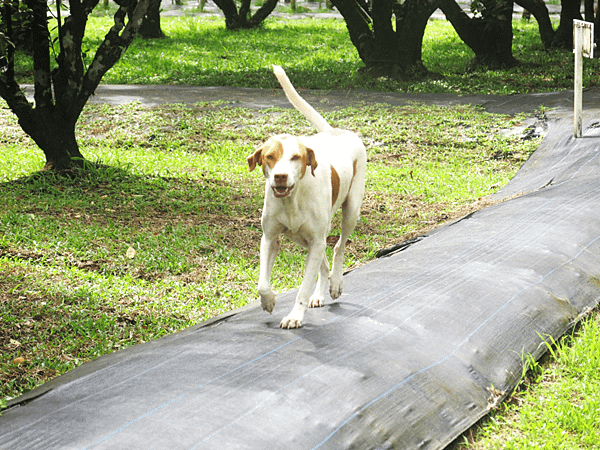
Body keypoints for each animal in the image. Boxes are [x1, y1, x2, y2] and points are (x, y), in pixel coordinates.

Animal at [247, 65, 368, 328]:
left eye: (296, 157)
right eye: (269, 156)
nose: (280, 176)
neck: (292, 200)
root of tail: (335, 131)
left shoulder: (315, 239)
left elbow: (303, 288)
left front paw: (294, 316)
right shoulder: (270, 238)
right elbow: (262, 284)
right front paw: (268, 300)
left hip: (350, 212)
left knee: (338, 247)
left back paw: (335, 283)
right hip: (302, 238)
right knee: (323, 261)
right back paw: (321, 291)